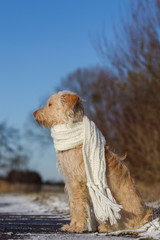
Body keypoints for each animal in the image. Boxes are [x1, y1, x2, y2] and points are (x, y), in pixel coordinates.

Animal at [33, 90, 152, 232]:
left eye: (50, 104)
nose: (34, 114)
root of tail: (144, 218)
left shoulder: (76, 183)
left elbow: (79, 207)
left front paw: (78, 227)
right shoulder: (69, 183)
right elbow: (73, 206)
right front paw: (72, 225)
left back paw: (104, 228)